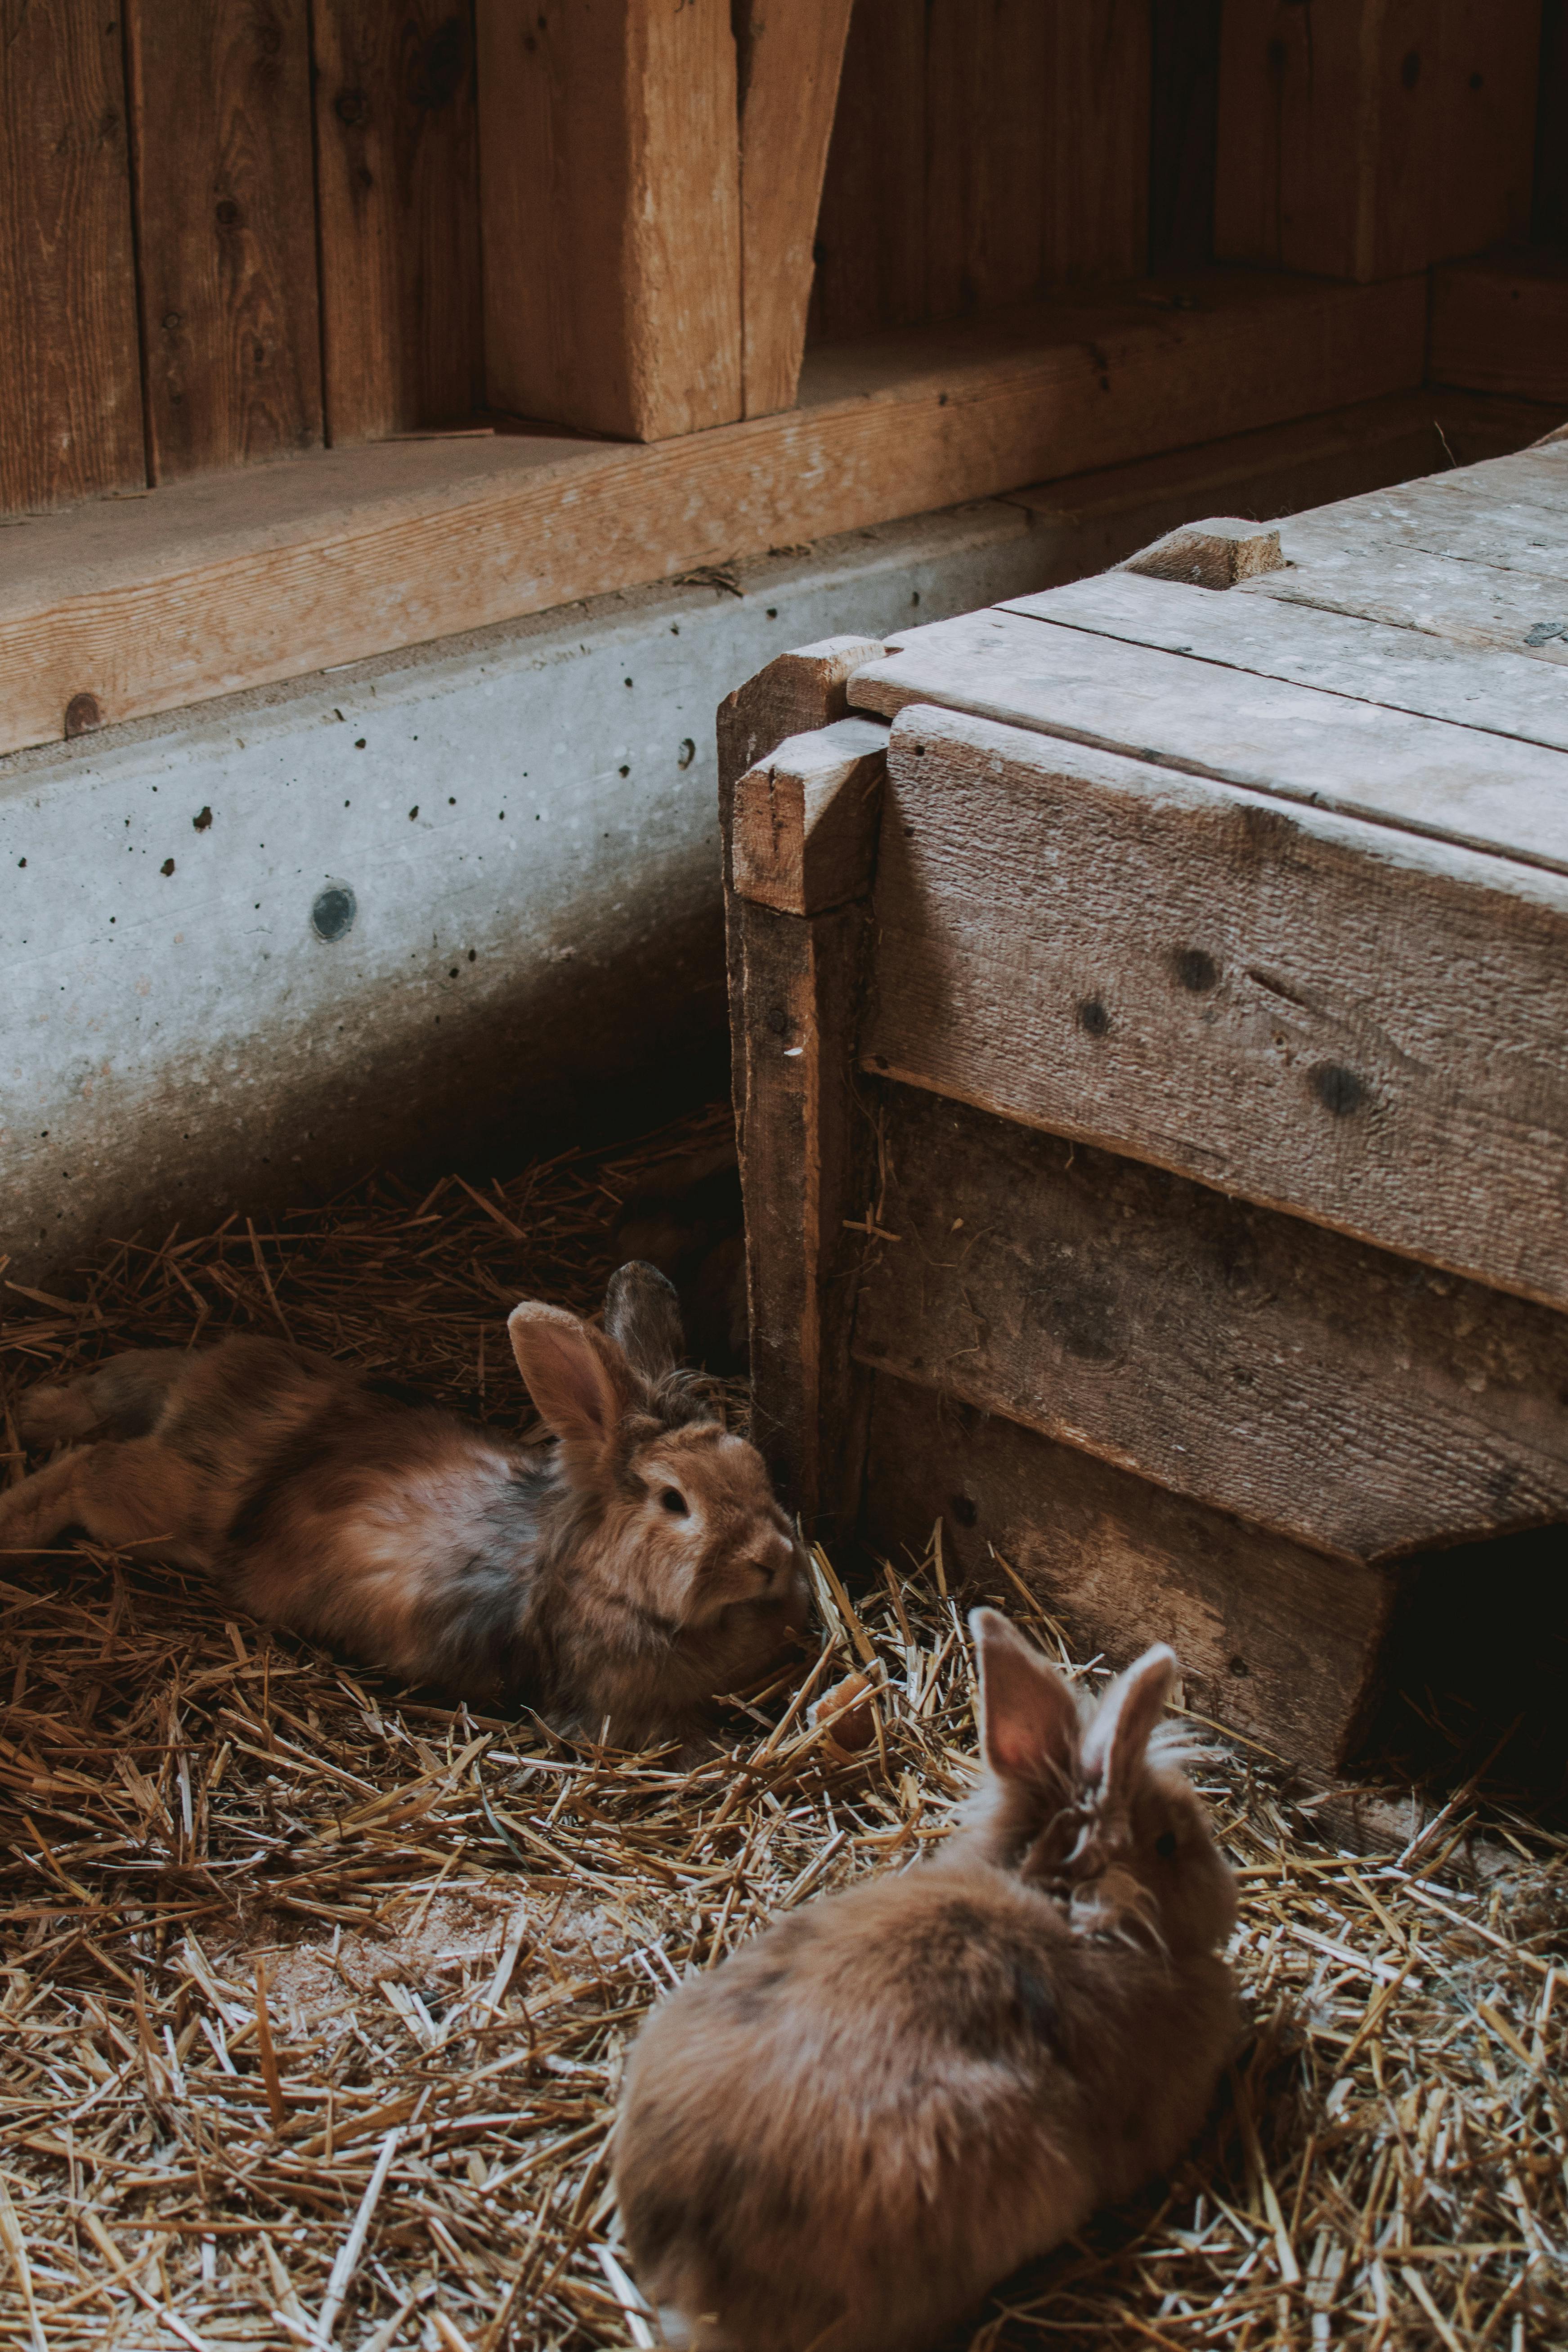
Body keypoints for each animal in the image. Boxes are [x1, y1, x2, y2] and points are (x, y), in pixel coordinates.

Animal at [0, 1270, 808, 1750]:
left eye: (753, 1468)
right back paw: (15, 1520)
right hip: (159, 1507)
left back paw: (34, 1411)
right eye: (674, 1501)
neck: (605, 1582)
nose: (771, 1559)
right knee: (89, 1467)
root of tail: (210, 1384)